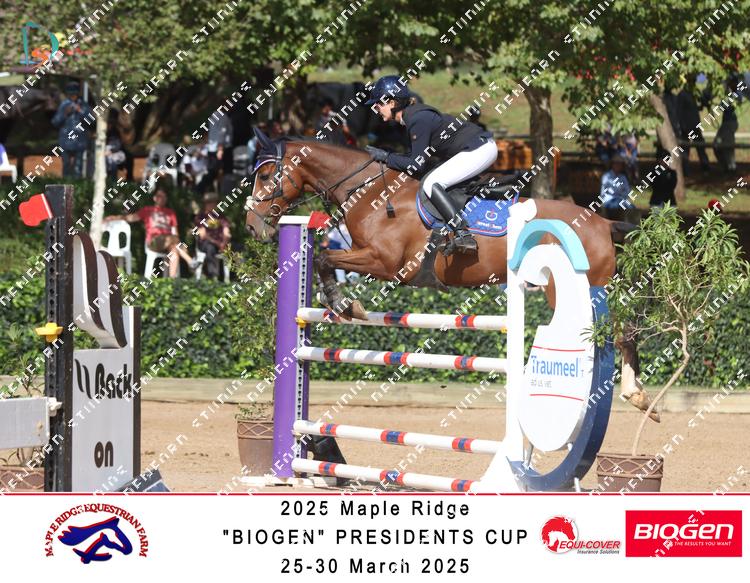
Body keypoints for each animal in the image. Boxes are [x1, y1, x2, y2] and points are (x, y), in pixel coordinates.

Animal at [245, 130, 644, 402]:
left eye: (265, 176)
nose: (251, 226)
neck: (371, 193)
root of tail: (602, 223)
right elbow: (326, 261)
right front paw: (342, 303)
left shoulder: (387, 263)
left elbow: (327, 259)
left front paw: (345, 304)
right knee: (621, 330)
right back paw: (632, 392)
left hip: (574, 288)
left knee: (611, 333)